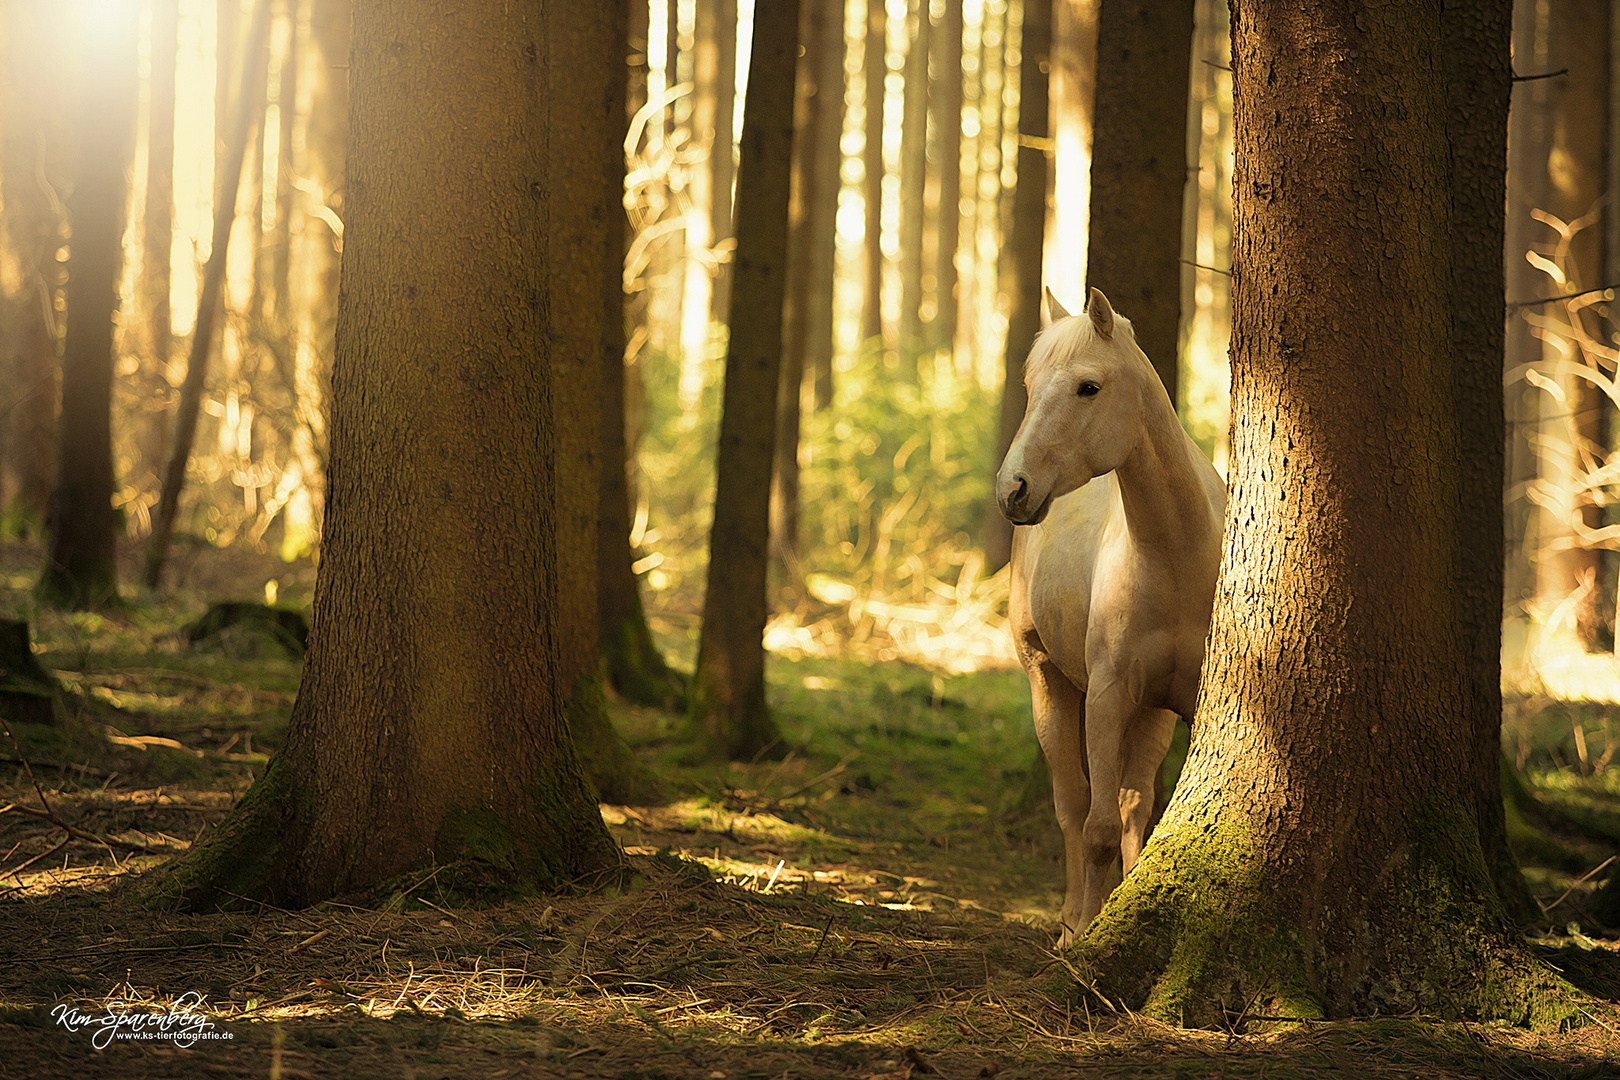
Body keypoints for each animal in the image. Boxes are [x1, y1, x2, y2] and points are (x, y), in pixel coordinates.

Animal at [991, 286, 1218, 945]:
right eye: (1029, 383)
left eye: (1087, 387)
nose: (1012, 489)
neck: (1175, 558)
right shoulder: (1106, 697)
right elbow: (1093, 828)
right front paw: (1085, 935)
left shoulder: (1182, 702)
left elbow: (1138, 814)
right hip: (1049, 685)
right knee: (1072, 804)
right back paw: (1071, 919)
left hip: (1152, 713)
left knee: (1131, 803)